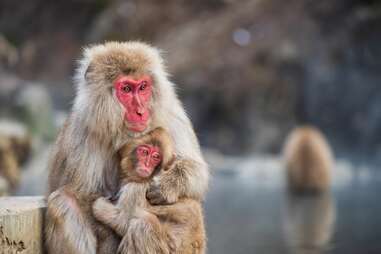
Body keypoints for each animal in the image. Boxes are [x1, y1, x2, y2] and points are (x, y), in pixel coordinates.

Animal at [46, 42, 209, 254]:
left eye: (142, 87)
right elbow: (82, 193)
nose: (140, 111)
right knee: (64, 202)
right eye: (126, 88)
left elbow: (197, 172)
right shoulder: (81, 128)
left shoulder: (171, 112)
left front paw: (167, 186)